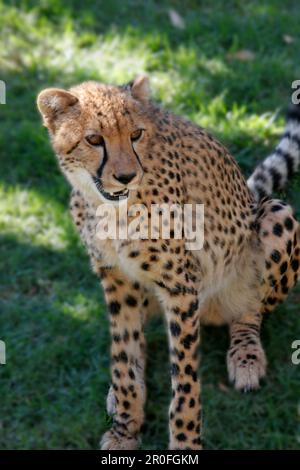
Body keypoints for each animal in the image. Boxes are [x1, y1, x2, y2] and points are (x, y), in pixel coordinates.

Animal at [37, 78, 300, 452]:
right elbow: (124, 356)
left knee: (250, 312)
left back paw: (246, 355)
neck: (109, 207)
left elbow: (185, 382)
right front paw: (125, 428)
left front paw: (185, 442)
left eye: (136, 134)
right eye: (94, 139)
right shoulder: (116, 280)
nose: (126, 176)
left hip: (276, 216)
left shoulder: (181, 288)